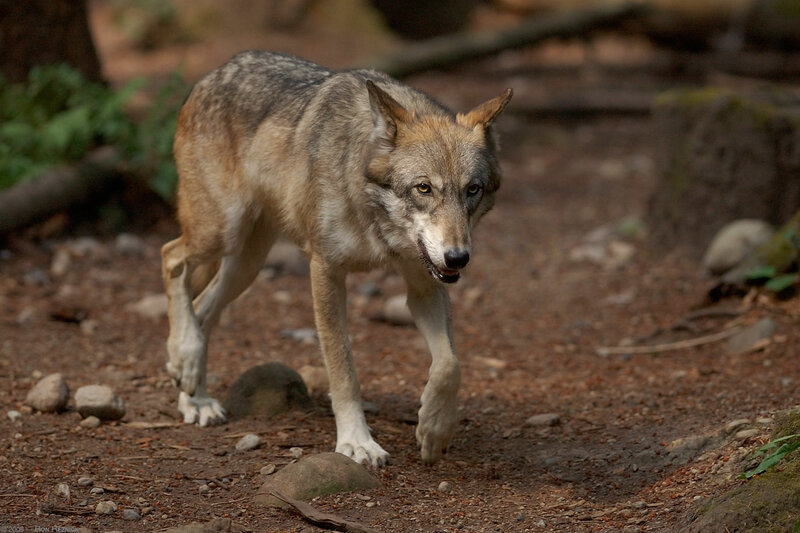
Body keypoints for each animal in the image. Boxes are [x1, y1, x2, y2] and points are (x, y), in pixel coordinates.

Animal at [161, 51, 512, 466]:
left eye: (472, 190)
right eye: (424, 188)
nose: (457, 258)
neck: (377, 221)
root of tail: (211, 75)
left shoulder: (423, 284)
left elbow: (449, 365)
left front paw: (434, 428)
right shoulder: (325, 271)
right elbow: (342, 368)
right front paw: (356, 441)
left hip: (247, 264)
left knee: (202, 309)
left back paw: (194, 394)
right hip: (220, 233)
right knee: (171, 258)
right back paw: (185, 362)